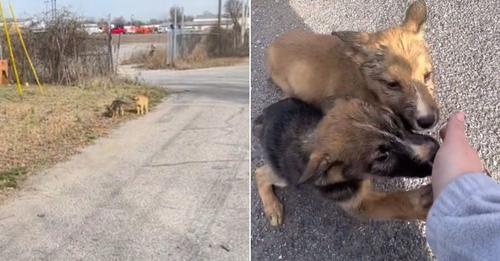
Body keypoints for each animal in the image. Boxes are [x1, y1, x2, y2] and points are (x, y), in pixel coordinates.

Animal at [256, 96, 440, 224]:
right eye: (382, 157)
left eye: (397, 123)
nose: (435, 149)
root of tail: (265, 114)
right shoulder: (359, 204)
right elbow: (395, 202)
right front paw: (427, 208)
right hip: (285, 176)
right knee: (259, 173)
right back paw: (272, 208)